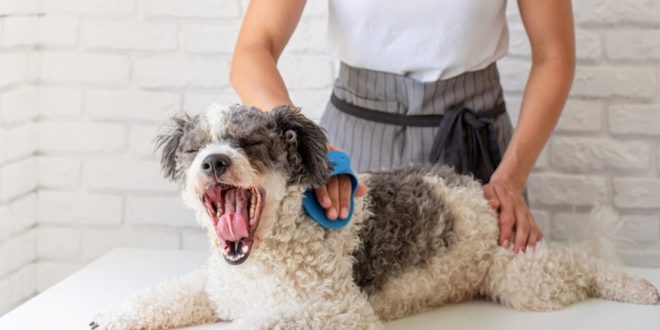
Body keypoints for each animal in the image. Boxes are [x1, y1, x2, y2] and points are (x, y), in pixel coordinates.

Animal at [91, 104, 660, 328]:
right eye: (194, 148)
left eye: (249, 143)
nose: (213, 162)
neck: (265, 256)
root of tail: (477, 188)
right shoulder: (215, 289)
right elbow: (157, 298)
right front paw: (108, 316)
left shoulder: (336, 310)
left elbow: (263, 322)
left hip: (523, 276)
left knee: (581, 266)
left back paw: (636, 286)